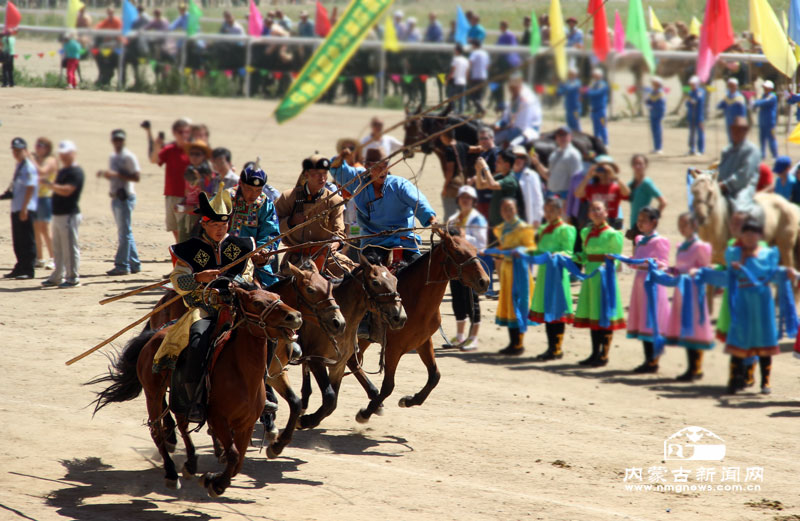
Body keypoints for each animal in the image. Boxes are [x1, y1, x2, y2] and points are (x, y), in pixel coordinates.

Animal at [348, 231, 488, 422]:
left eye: (475, 249)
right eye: (458, 252)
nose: (484, 281)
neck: (415, 299)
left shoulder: (423, 341)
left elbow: (435, 376)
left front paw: (409, 400)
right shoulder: (393, 348)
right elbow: (388, 386)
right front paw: (366, 412)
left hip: (363, 339)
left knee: (353, 361)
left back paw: (373, 395)